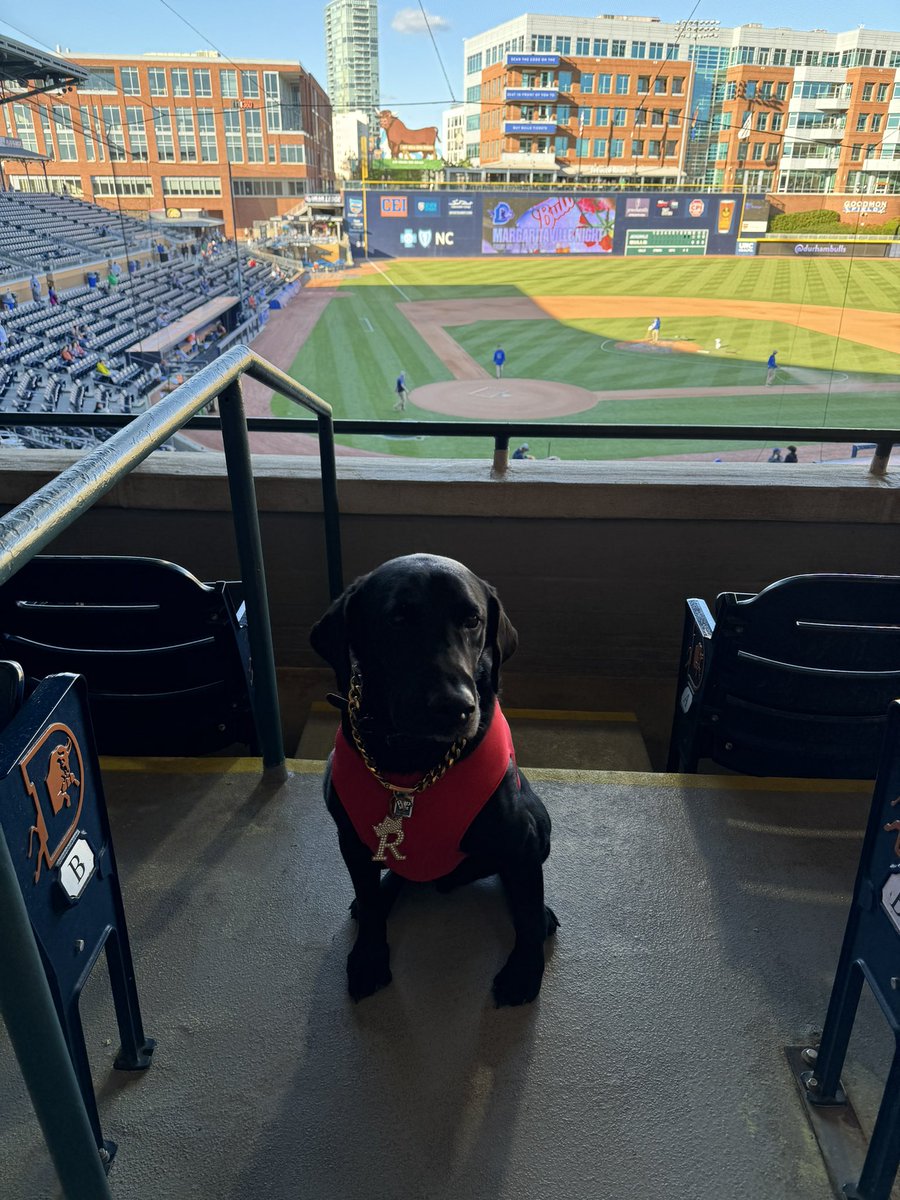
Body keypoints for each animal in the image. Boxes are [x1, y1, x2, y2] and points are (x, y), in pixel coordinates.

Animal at [314, 552, 561, 1003]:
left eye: (472, 619)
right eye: (398, 618)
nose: (454, 706)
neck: (415, 760)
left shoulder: (521, 836)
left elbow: (527, 908)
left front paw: (523, 970)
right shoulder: (352, 840)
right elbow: (370, 903)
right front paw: (369, 958)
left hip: (539, 820)